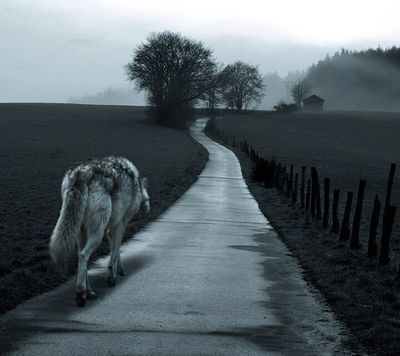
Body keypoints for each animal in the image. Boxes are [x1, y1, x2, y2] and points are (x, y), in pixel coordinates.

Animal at [48, 156, 150, 306]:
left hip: (80, 231)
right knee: (83, 255)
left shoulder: (111, 228)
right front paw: (112, 277)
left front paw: (117, 268)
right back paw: (80, 294)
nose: (147, 210)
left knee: (80, 256)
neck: (137, 185)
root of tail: (81, 173)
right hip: (97, 233)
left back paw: (89, 292)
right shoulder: (121, 223)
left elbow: (115, 250)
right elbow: (115, 251)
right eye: (149, 200)